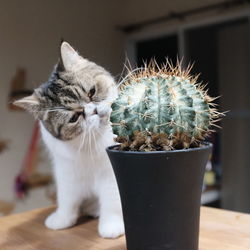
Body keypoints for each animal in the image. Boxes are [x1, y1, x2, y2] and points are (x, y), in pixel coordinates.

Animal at [14, 41, 124, 238]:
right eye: (74, 118)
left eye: (92, 92)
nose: (95, 111)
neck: (88, 145)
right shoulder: (66, 172)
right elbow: (66, 199)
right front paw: (61, 220)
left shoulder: (109, 174)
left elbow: (112, 202)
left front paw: (111, 226)